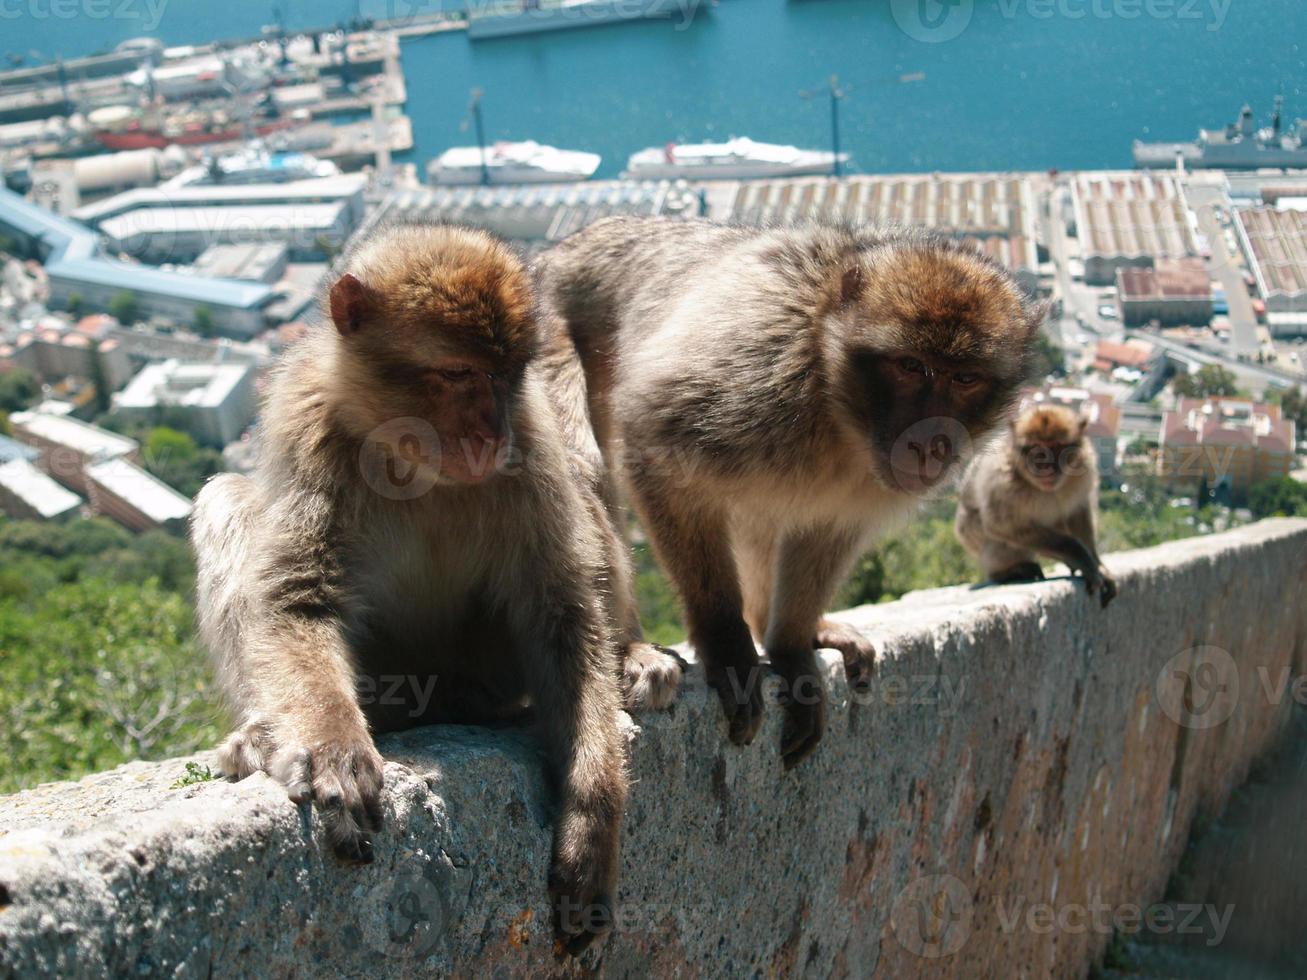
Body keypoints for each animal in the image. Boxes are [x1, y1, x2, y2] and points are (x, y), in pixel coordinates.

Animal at [194, 226, 637, 956]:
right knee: (225, 496)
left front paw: (590, 820)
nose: (490, 430)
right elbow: (298, 597)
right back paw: (265, 733)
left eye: (504, 374)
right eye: (458, 373)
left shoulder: (530, 442)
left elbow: (561, 616)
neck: (414, 460)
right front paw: (335, 748)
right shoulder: (309, 429)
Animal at [535, 218, 1045, 773]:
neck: (833, 395)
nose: (929, 441)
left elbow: (827, 529)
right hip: (542, 337)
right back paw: (628, 649)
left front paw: (793, 647)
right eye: (910, 366)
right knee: (583, 469)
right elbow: (659, 455)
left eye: (965, 378)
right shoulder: (753, 376)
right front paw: (728, 644)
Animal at [956, 399, 1118, 606]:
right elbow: (1001, 526)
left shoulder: (1084, 466)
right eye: (1036, 448)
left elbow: (1079, 511)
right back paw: (1008, 572)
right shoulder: (1000, 481)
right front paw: (1079, 556)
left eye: (1056, 446)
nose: (1044, 466)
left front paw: (1097, 564)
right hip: (970, 535)